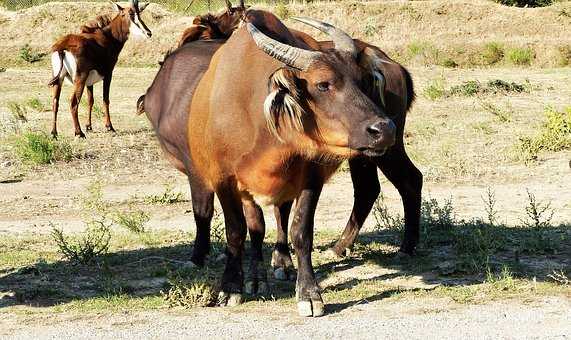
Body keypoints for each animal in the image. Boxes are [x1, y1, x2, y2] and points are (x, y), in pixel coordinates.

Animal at [49, 0, 151, 138]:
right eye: (128, 14)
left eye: (139, 14)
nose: (148, 33)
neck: (108, 37)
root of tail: (62, 47)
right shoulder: (108, 74)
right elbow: (105, 99)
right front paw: (109, 126)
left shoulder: (89, 82)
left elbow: (90, 100)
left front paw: (89, 126)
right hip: (79, 78)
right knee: (74, 102)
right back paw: (79, 133)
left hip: (59, 78)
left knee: (55, 102)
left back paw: (54, 133)